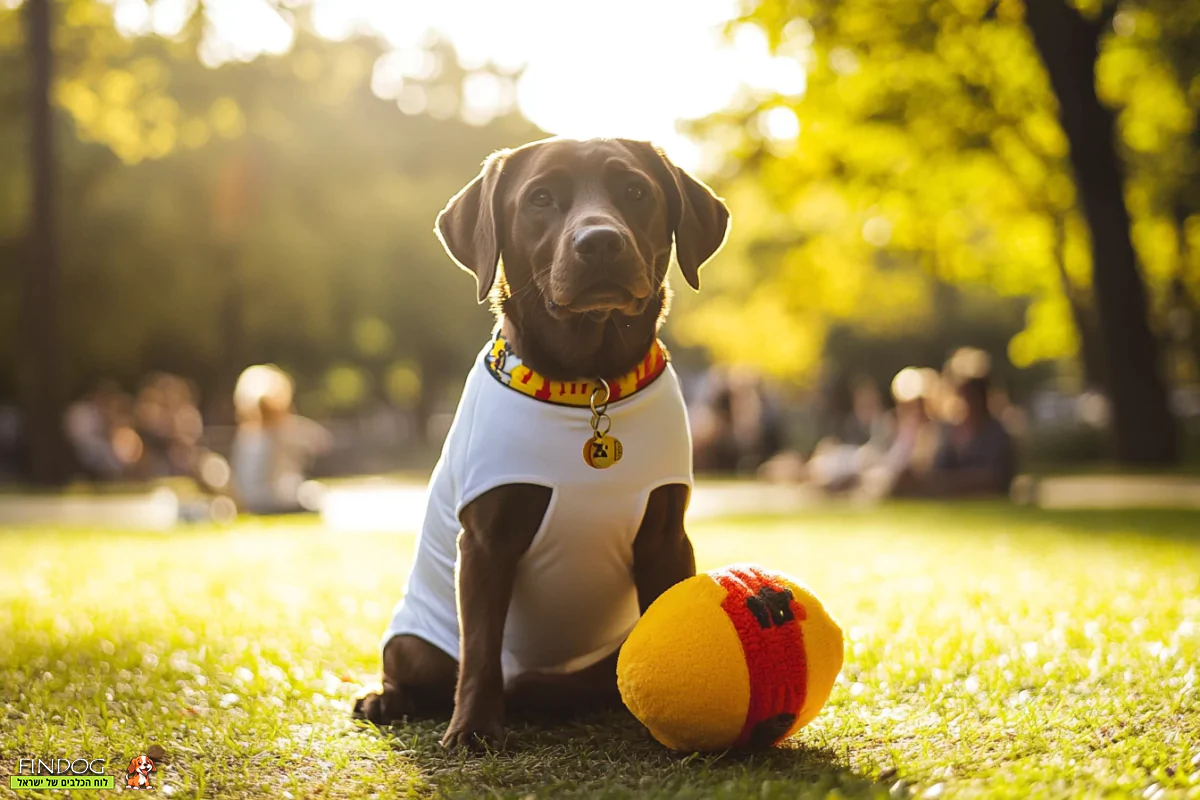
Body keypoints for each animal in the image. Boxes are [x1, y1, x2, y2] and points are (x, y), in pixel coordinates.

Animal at [352, 137, 729, 753]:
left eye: (636, 191)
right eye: (541, 198)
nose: (600, 242)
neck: (589, 387)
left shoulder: (667, 538)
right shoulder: (486, 541)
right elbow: (481, 648)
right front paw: (473, 729)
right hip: (411, 642)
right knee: (417, 667)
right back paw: (384, 699)